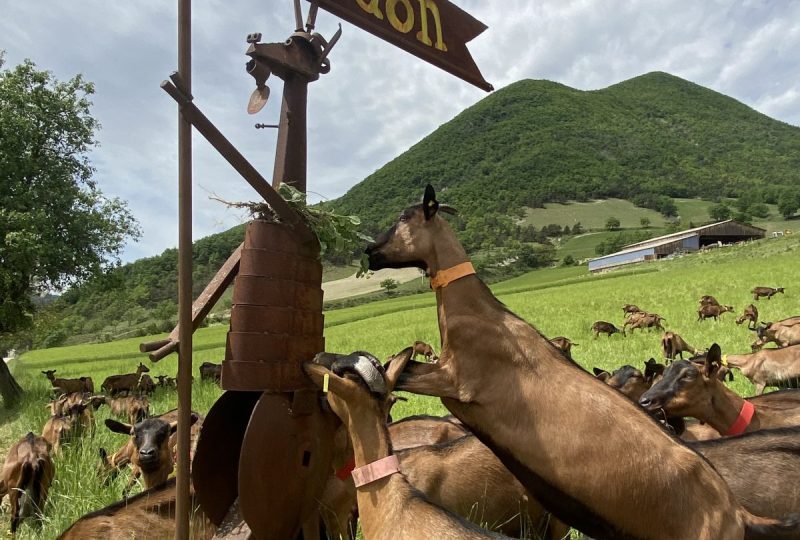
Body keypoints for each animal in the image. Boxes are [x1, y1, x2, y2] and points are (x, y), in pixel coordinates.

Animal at [368, 186, 800, 540]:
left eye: (404, 218)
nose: (370, 253)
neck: (476, 311)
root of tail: (738, 513)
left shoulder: (456, 379)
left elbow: (400, 371)